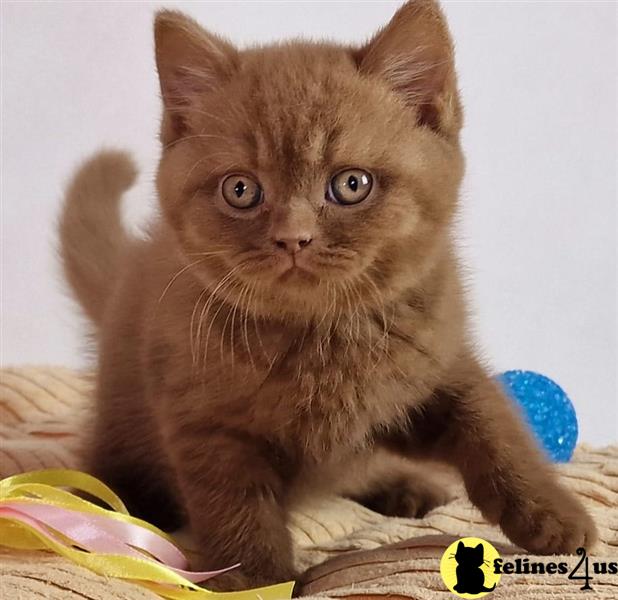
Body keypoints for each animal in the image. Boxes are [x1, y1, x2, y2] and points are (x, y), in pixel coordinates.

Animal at [60, 0, 596, 592]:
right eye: (241, 190)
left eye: (351, 185)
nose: (293, 238)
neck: (322, 336)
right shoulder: (205, 422)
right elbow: (237, 507)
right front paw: (259, 581)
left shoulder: (438, 356)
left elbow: (494, 423)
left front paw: (553, 514)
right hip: (121, 414)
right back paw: (97, 503)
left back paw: (401, 483)